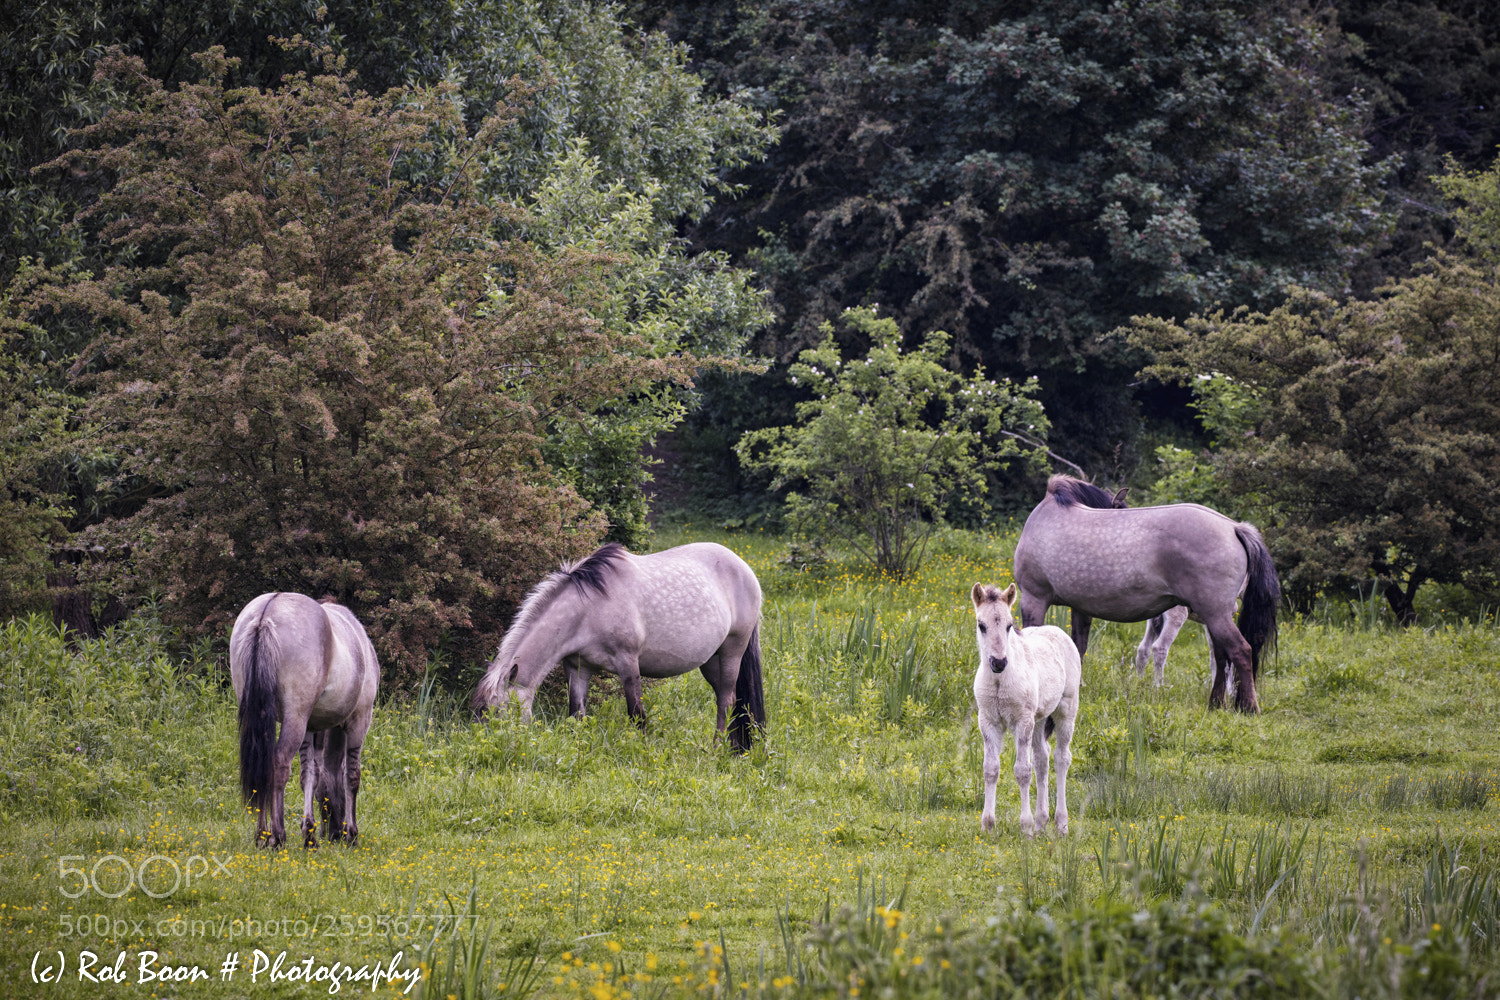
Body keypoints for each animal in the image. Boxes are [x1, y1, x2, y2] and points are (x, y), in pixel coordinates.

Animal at [230, 593, 380, 848]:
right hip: (295, 718)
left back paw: (262, 835)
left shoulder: (312, 727)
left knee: (263, 766)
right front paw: (351, 832)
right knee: (279, 763)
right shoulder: (358, 721)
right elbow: (351, 776)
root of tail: (265, 615)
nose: (333, 833)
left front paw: (310, 833)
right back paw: (277, 835)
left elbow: (311, 774)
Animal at [473, 541, 766, 752]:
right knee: (729, 699)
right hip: (711, 661)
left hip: (732, 650)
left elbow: (636, 714)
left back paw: (717, 748)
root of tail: (745, 569)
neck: (588, 609)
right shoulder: (577, 667)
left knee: (727, 700)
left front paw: (641, 752)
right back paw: (734, 747)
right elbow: (576, 713)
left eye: (500, 711)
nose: (494, 745)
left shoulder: (628, 663)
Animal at [971, 582, 1080, 837]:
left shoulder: (1022, 721)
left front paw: (1026, 827)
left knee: (1061, 758)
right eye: (982, 625)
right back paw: (1042, 821)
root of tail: (1059, 631)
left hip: (1065, 711)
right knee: (1042, 758)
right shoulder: (988, 721)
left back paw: (1060, 824)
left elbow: (1022, 771)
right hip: (1039, 719)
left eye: (1009, 625)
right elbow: (990, 769)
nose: (999, 662)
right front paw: (988, 825)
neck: (999, 681)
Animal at [1012, 474, 1279, 712]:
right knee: (1223, 656)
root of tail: (1234, 527)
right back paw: (1215, 703)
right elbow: (1078, 648)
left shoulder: (1034, 599)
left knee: (1241, 651)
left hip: (1216, 614)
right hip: (1214, 616)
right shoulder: (1079, 607)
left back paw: (1249, 707)